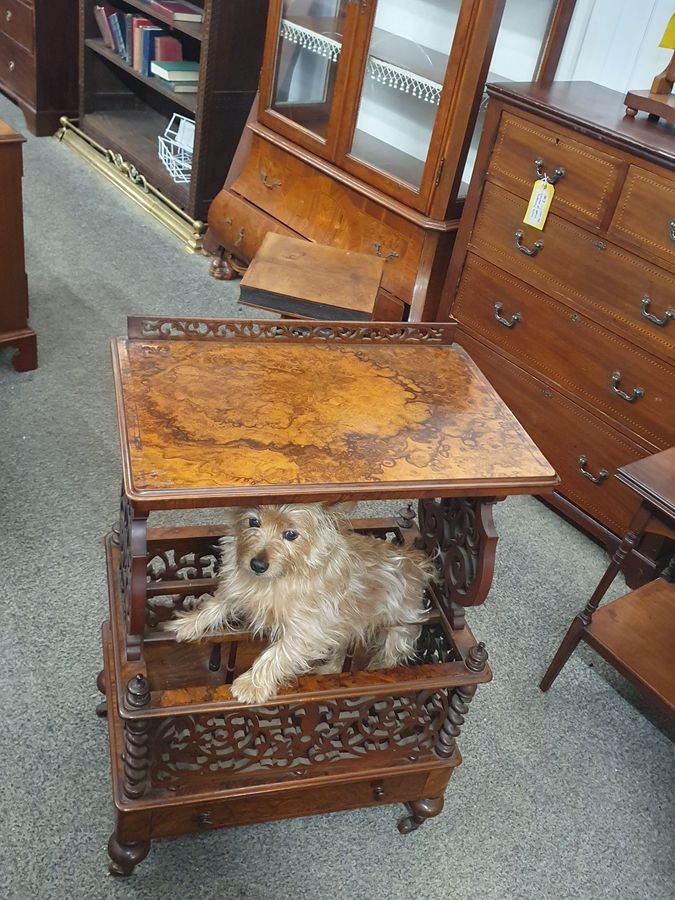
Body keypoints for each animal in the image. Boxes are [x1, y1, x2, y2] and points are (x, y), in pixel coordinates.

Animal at [169, 506, 434, 704]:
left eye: (290, 534)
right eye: (253, 522)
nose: (257, 565)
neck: (278, 578)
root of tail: (418, 563)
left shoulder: (307, 629)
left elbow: (277, 653)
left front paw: (251, 684)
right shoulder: (239, 589)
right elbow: (218, 603)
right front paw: (188, 623)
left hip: (397, 630)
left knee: (390, 655)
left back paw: (376, 671)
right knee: (340, 649)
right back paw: (329, 669)